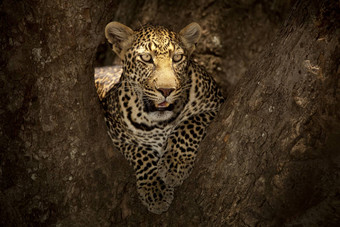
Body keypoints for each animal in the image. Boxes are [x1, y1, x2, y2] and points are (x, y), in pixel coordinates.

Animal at [95, 20, 224, 214]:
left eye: (177, 58)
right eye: (146, 58)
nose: (166, 90)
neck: (160, 123)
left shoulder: (215, 104)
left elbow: (188, 124)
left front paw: (174, 165)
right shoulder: (116, 135)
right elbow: (141, 153)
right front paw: (156, 191)